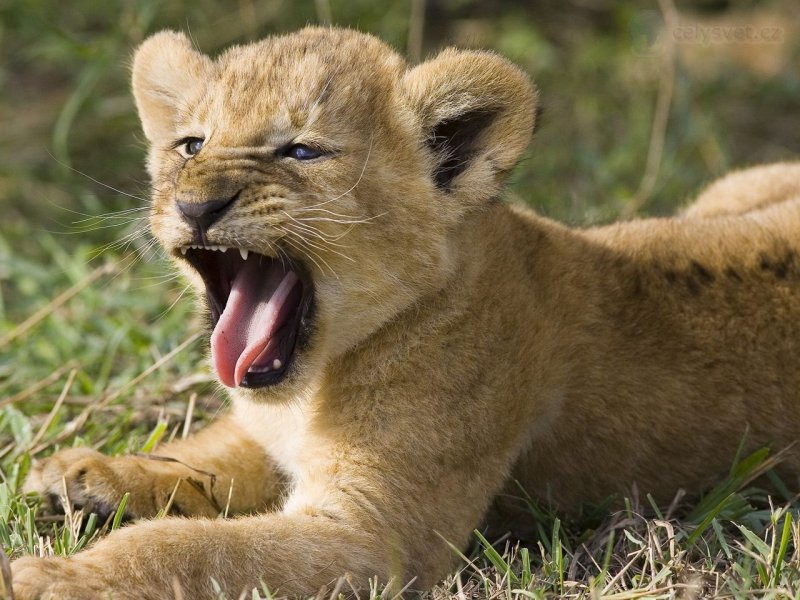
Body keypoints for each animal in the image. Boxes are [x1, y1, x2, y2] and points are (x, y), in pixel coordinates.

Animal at [10, 27, 800, 599]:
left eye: (302, 151)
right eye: (192, 144)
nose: (197, 204)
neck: (317, 380)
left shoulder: (376, 537)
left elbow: (191, 549)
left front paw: (53, 577)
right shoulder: (266, 434)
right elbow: (203, 455)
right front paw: (88, 473)